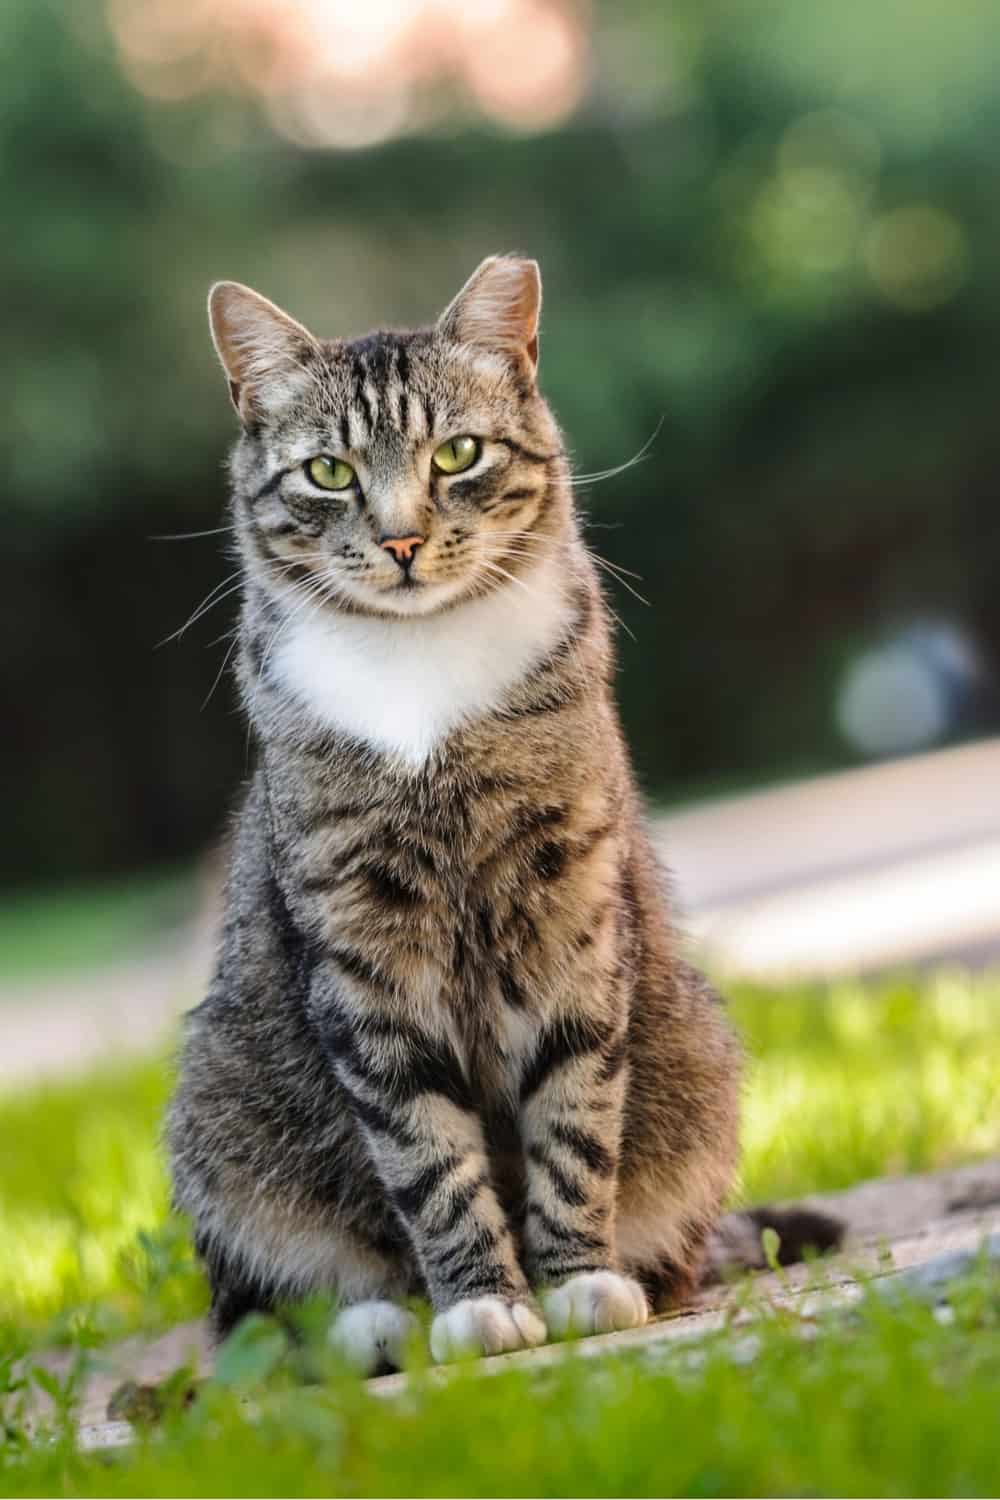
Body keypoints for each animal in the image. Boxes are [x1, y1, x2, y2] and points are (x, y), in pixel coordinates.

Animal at [167, 258, 743, 1374]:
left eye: (459, 453)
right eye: (329, 473)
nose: (399, 539)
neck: (420, 668)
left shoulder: (572, 908)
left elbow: (574, 1116)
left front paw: (573, 1280)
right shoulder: (360, 950)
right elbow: (425, 1152)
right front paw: (482, 1300)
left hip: (701, 1065)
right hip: (217, 1111)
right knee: (257, 1320)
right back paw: (376, 1321)